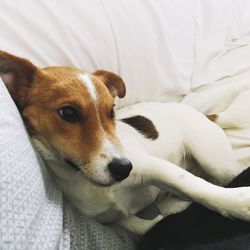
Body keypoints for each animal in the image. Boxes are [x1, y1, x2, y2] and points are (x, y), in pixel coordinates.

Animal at [1, 50, 250, 234]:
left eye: (111, 111)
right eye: (68, 113)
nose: (123, 169)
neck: (88, 182)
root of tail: (204, 114)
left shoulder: (156, 168)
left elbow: (195, 186)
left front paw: (239, 203)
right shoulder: (115, 219)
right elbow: (150, 224)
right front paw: (174, 208)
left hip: (216, 163)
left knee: (219, 177)